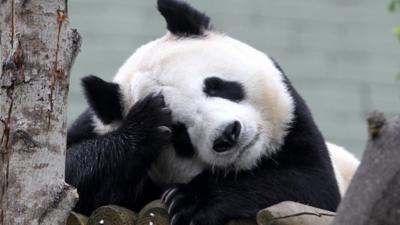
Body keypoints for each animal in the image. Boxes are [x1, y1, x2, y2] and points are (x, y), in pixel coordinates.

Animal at [65, 0, 360, 224]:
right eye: (179, 133)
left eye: (215, 85)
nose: (228, 134)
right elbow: (70, 174)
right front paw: (145, 125)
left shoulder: (297, 124)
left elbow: (311, 184)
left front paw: (191, 201)